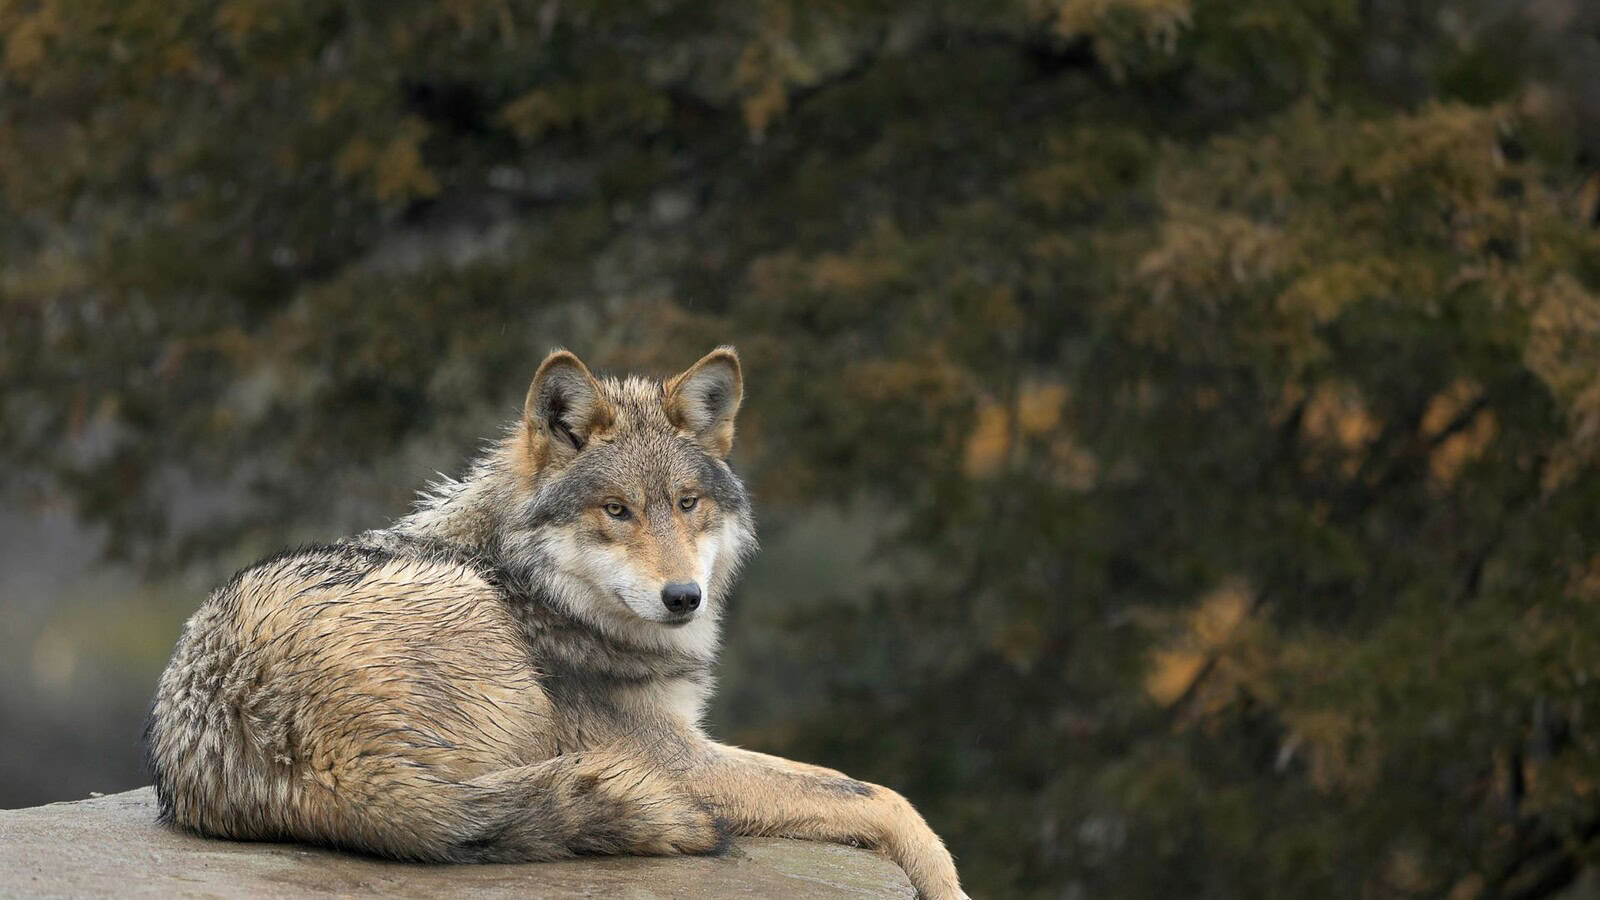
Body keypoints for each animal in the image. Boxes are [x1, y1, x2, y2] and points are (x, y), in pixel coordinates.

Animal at [144, 347, 965, 899]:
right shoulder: (675, 758)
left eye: (687, 504)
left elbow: (856, 786)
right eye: (617, 510)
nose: (683, 598)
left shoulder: (684, 740)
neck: (534, 585)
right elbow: (877, 795)